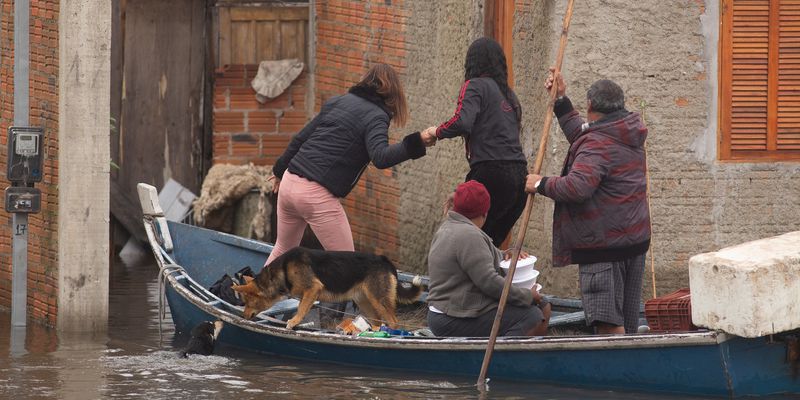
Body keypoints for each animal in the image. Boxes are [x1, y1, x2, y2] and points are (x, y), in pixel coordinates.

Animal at [230, 248, 422, 330]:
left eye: (247, 301)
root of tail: (385, 260)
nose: (243, 317)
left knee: (393, 322)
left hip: (378, 298)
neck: (282, 270)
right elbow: (302, 307)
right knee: (378, 322)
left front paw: (293, 322)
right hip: (365, 301)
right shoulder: (308, 294)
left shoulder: (312, 289)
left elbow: (301, 309)